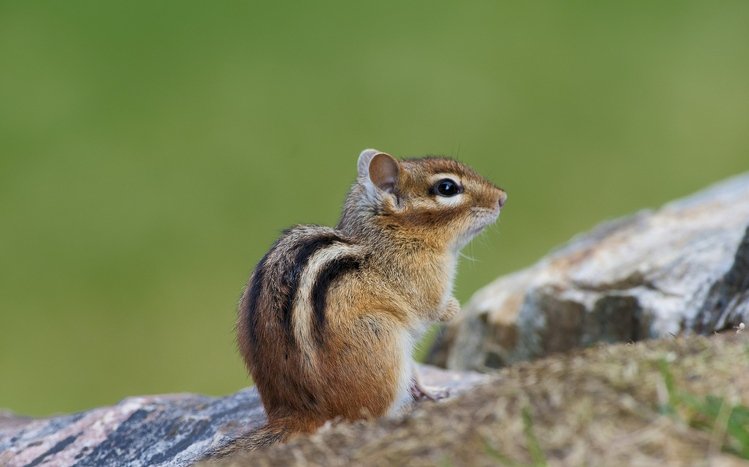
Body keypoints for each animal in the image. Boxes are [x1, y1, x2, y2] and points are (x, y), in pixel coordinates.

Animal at [210, 149, 506, 457]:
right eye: (447, 188)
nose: (503, 198)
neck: (393, 232)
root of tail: (299, 413)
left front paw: (432, 391)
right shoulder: (425, 284)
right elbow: (433, 308)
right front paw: (453, 308)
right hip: (385, 341)